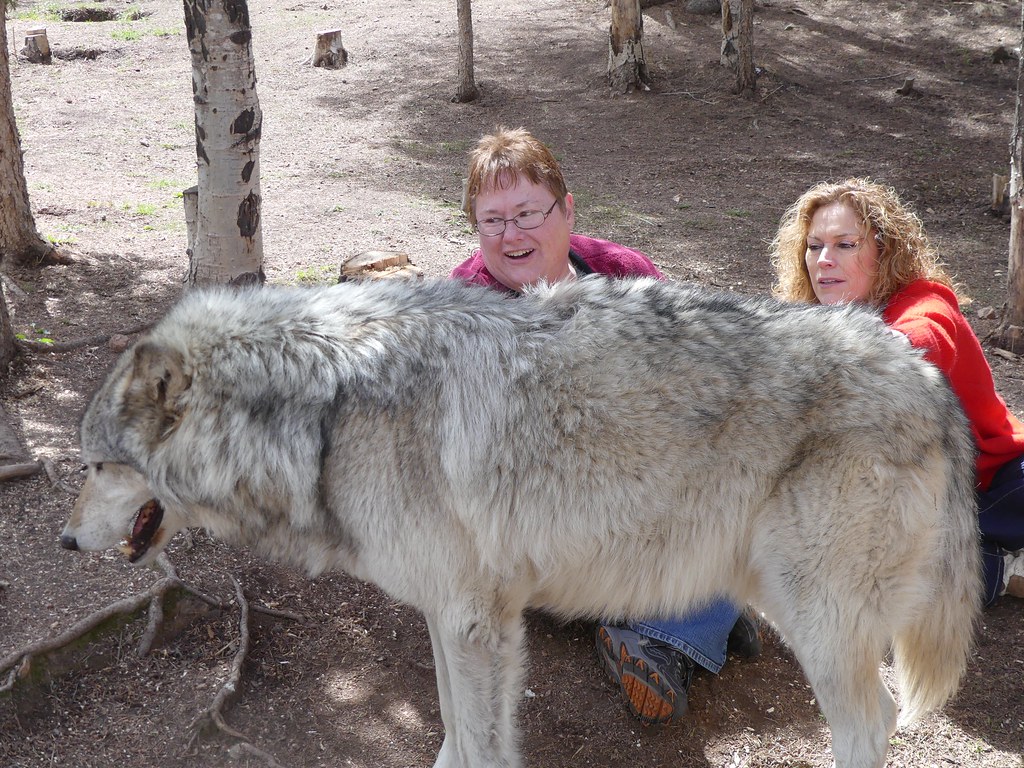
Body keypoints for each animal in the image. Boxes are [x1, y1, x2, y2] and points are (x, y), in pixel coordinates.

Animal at [60, 276, 982, 768]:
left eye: (98, 465)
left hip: (815, 616)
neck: (322, 414)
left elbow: (474, 738)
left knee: (869, 723)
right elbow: (456, 728)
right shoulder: (459, 614)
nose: (65, 541)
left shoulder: (473, 617)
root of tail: (926, 375)